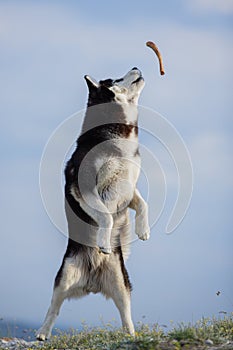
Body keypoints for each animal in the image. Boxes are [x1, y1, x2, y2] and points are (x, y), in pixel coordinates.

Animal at [36, 67, 149, 340]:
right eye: (116, 79)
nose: (136, 67)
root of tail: (92, 280)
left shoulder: (129, 189)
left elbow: (143, 205)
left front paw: (143, 230)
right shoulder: (82, 186)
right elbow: (106, 215)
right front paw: (104, 242)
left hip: (121, 283)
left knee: (125, 313)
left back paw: (131, 335)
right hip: (65, 276)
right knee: (53, 308)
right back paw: (43, 332)